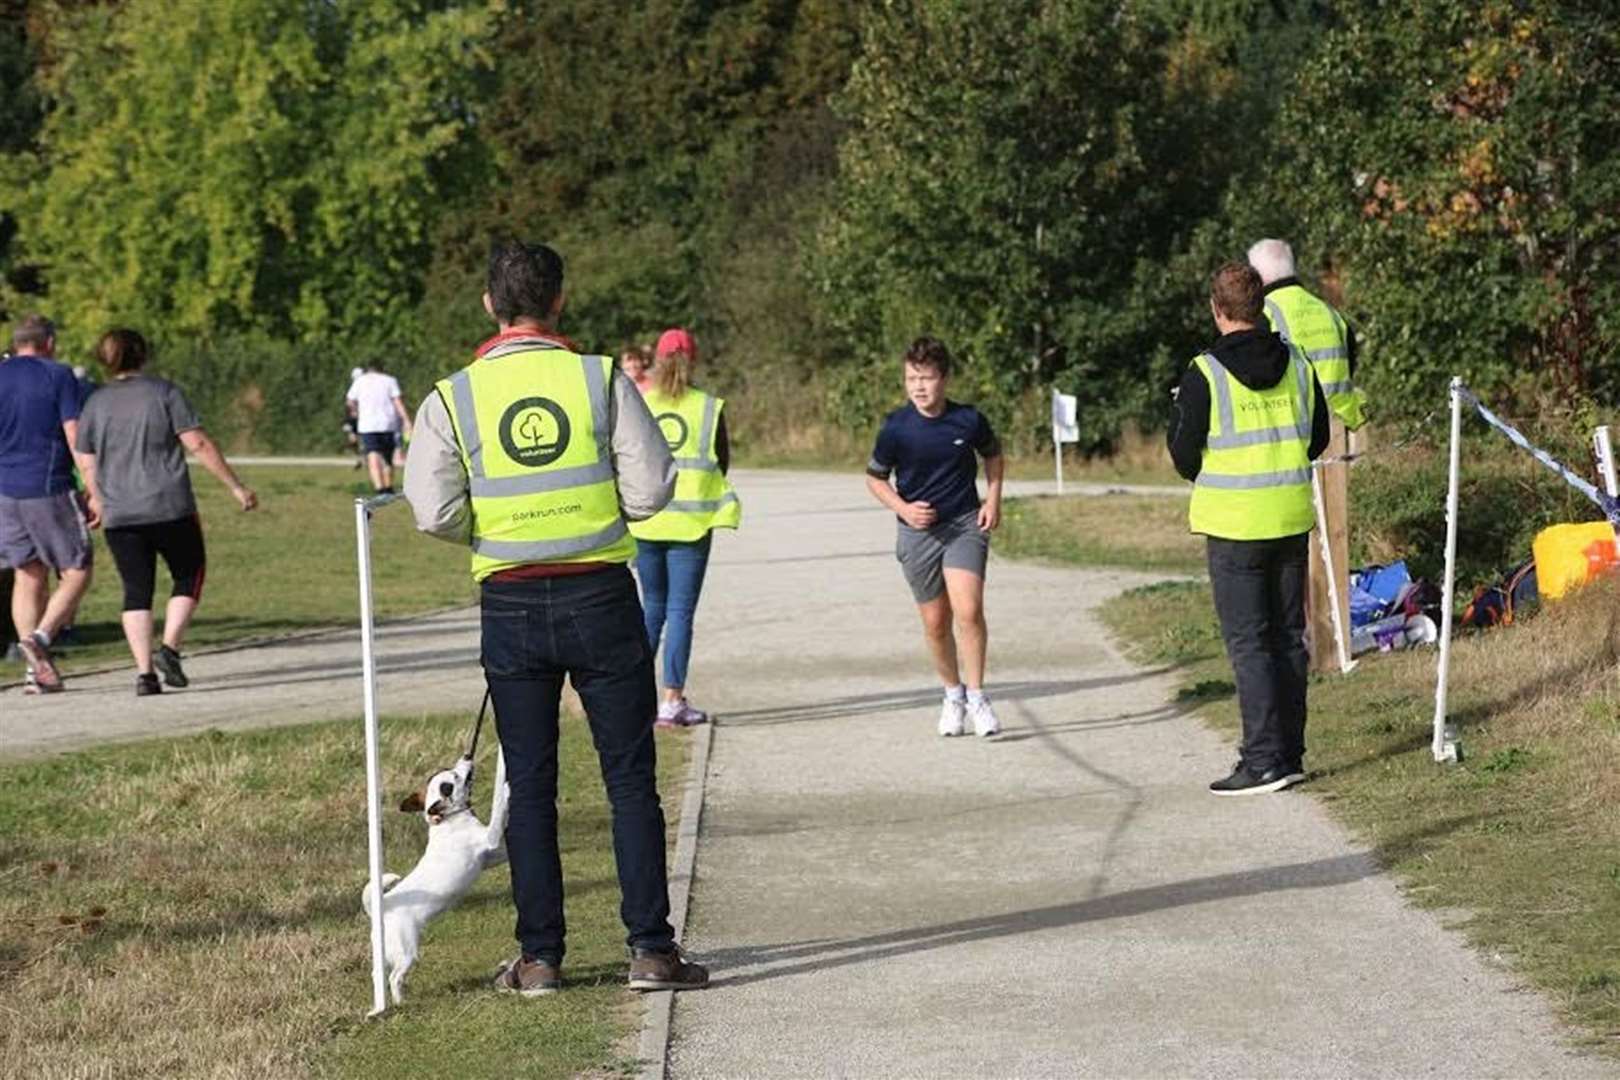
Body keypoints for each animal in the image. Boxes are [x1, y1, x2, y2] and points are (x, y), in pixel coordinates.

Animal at [364, 748, 508, 1010]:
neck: (450, 819)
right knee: (394, 977)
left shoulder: (490, 856)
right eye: (454, 778)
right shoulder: (490, 838)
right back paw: (400, 1001)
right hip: (407, 951)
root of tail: (383, 906)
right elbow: (498, 813)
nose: (467, 755)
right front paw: (506, 791)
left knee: (378, 975)